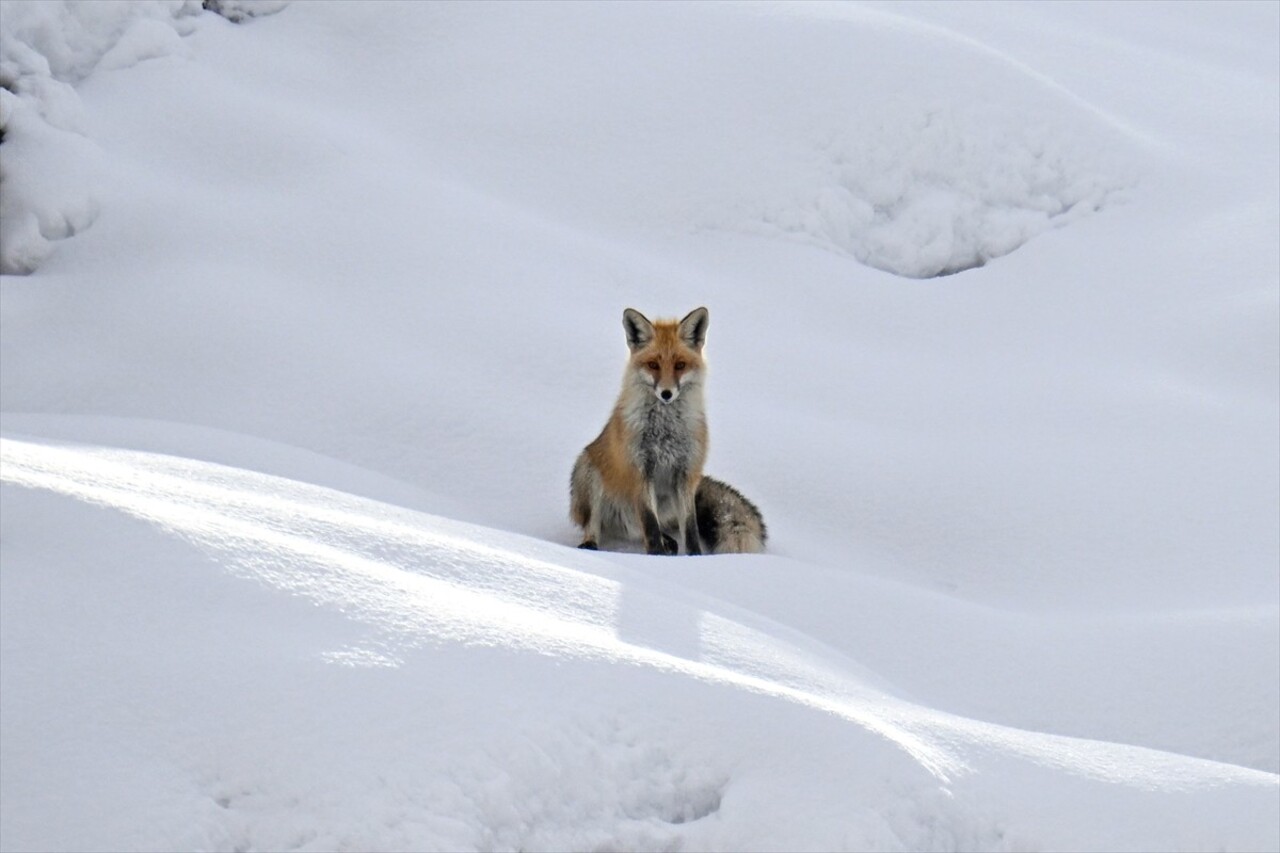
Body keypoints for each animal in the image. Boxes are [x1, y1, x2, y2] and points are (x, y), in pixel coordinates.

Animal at [573, 306, 768, 550]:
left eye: (680, 365)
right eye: (653, 365)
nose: (666, 393)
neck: (665, 432)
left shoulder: (685, 473)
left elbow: (690, 528)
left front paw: (693, 555)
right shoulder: (640, 470)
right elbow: (650, 525)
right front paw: (657, 554)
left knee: (644, 529)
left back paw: (669, 543)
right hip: (588, 472)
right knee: (599, 524)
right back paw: (591, 544)